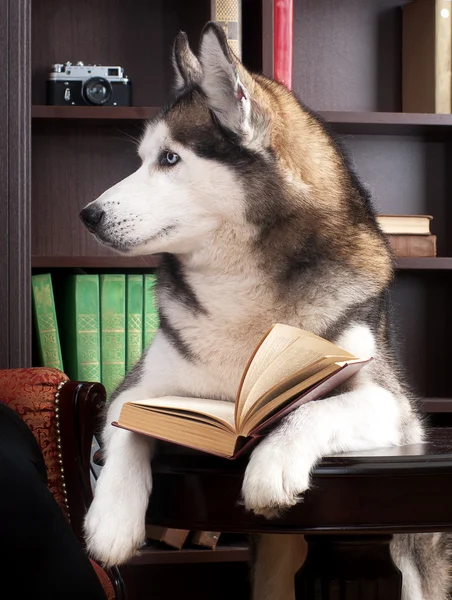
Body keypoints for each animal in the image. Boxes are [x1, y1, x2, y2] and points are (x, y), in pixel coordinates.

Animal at [79, 22, 450, 600]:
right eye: (142, 159)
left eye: (170, 159)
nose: (88, 214)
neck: (243, 289)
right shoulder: (136, 388)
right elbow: (130, 424)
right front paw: (111, 519)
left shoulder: (394, 408)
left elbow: (315, 408)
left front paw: (272, 460)